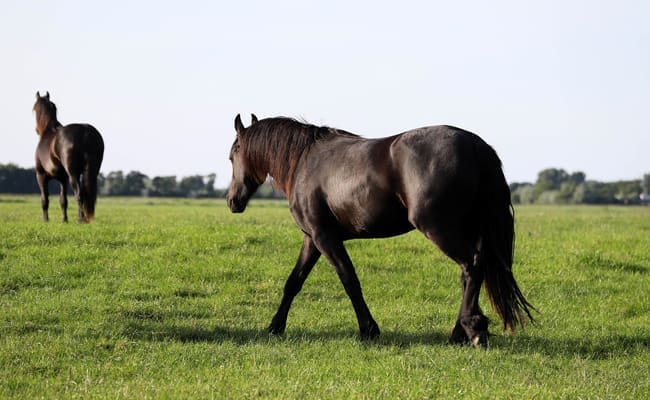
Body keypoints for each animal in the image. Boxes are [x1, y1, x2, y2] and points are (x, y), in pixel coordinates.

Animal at [33, 92, 104, 223]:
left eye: (34, 108)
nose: (36, 129)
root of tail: (85, 131)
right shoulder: (63, 178)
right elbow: (63, 201)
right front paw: (65, 220)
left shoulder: (41, 175)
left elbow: (45, 199)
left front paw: (46, 220)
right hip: (92, 172)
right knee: (87, 194)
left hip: (73, 174)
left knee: (79, 193)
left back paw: (81, 219)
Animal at [226, 114, 534, 348]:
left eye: (232, 155)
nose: (232, 201)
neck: (304, 162)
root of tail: (476, 146)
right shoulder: (311, 239)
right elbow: (294, 282)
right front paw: (275, 326)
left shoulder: (325, 238)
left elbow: (350, 280)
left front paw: (369, 329)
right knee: (471, 272)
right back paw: (460, 332)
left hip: (439, 228)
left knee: (472, 266)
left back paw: (471, 329)